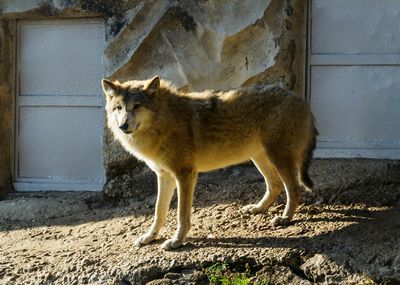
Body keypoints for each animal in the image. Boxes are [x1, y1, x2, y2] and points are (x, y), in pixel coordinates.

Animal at [101, 76, 318, 248]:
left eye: (137, 106)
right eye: (118, 108)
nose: (123, 126)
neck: (163, 121)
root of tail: (302, 100)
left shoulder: (185, 174)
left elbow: (181, 215)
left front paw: (177, 241)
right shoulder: (164, 176)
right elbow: (158, 212)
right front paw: (149, 237)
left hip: (277, 158)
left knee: (294, 188)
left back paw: (285, 219)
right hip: (259, 158)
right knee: (275, 185)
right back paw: (257, 208)